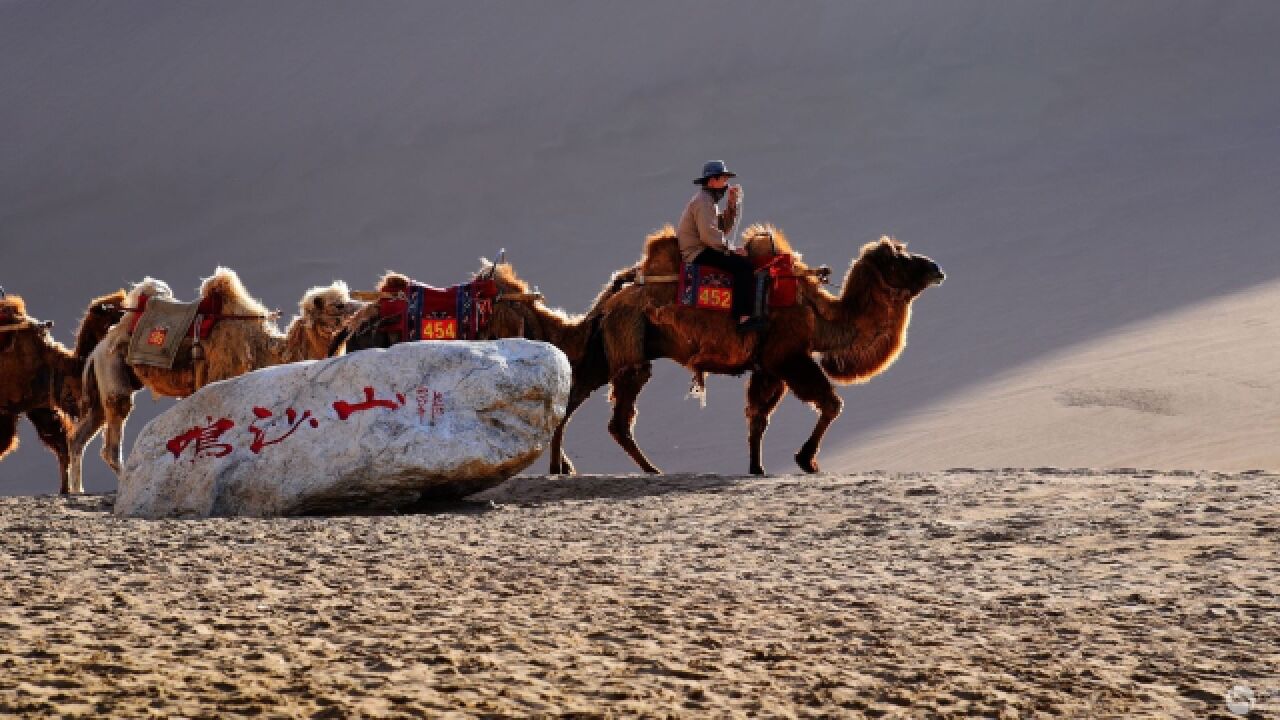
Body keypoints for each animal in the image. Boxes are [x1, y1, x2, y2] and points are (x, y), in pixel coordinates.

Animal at [69, 266, 363, 489]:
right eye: (338, 305)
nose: (362, 306)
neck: (262, 347)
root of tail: (98, 349)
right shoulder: (219, 377)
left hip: (104, 383)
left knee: (80, 435)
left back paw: (76, 490)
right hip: (112, 370)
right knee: (112, 434)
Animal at [576, 221, 947, 474]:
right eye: (899, 261)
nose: (937, 268)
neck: (819, 315)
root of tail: (612, 300)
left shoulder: (768, 368)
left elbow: (757, 418)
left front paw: (757, 469)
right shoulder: (789, 358)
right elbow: (830, 404)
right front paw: (806, 461)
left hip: (611, 346)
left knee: (579, 391)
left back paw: (566, 468)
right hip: (629, 340)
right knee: (618, 419)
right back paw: (653, 470)